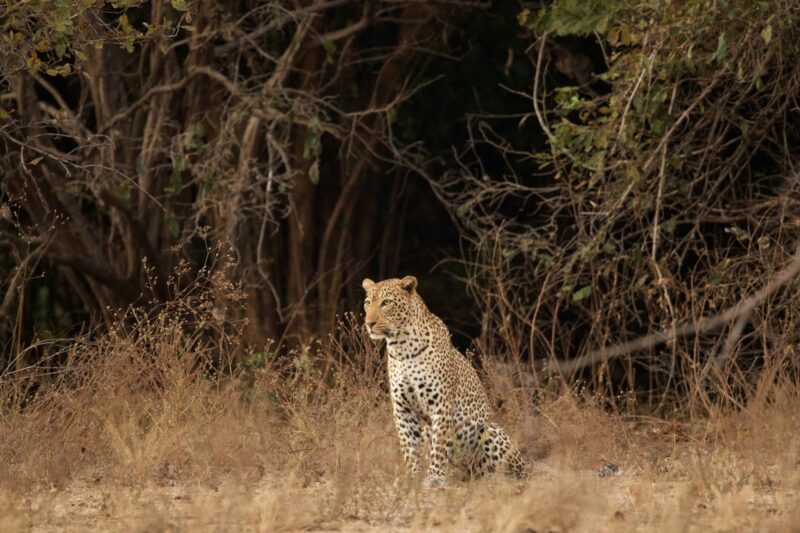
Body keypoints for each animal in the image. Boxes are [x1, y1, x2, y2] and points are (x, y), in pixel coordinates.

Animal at [360, 274, 524, 486]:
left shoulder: (441, 405)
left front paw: (434, 478)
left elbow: (438, 445)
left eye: (386, 303)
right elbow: (409, 446)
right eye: (367, 303)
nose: (369, 323)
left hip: (489, 431)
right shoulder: (402, 409)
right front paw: (412, 477)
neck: (401, 347)